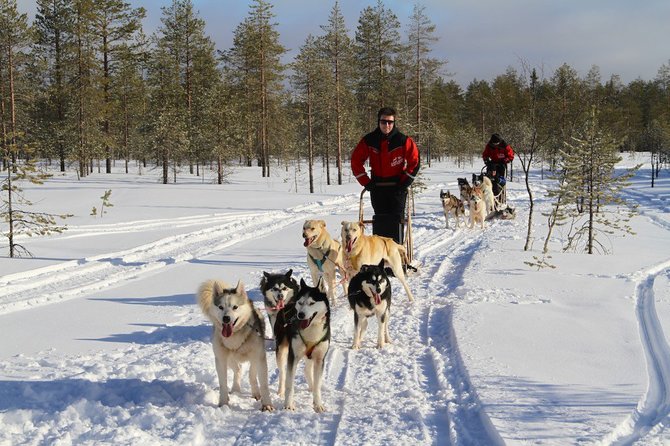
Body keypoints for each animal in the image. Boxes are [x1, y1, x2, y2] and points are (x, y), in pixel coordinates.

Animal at [198, 278, 274, 412]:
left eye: (235, 307)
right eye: (221, 307)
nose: (226, 318)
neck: (235, 337)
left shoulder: (259, 357)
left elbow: (263, 383)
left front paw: (267, 404)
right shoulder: (220, 360)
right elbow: (223, 384)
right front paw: (223, 403)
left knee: (251, 373)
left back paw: (255, 392)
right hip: (229, 357)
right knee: (238, 369)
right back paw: (236, 389)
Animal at [284, 278, 332, 414]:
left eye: (311, 303)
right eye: (300, 303)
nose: (300, 314)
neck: (311, 330)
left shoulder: (320, 359)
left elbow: (317, 385)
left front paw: (318, 404)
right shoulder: (293, 357)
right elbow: (289, 384)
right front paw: (288, 405)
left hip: (311, 356)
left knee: (307, 370)